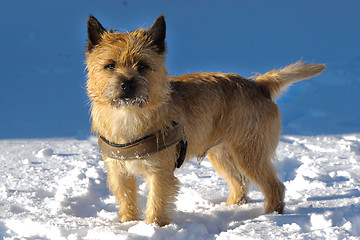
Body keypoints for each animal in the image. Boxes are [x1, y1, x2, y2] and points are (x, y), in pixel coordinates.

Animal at [85, 15, 326, 227]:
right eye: (110, 65)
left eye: (142, 65)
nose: (127, 84)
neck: (128, 115)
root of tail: (258, 85)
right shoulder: (119, 171)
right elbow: (127, 200)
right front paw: (128, 225)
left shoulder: (160, 173)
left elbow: (156, 204)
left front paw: (152, 228)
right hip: (221, 154)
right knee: (240, 183)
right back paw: (231, 208)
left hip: (249, 153)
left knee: (274, 186)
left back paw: (270, 219)